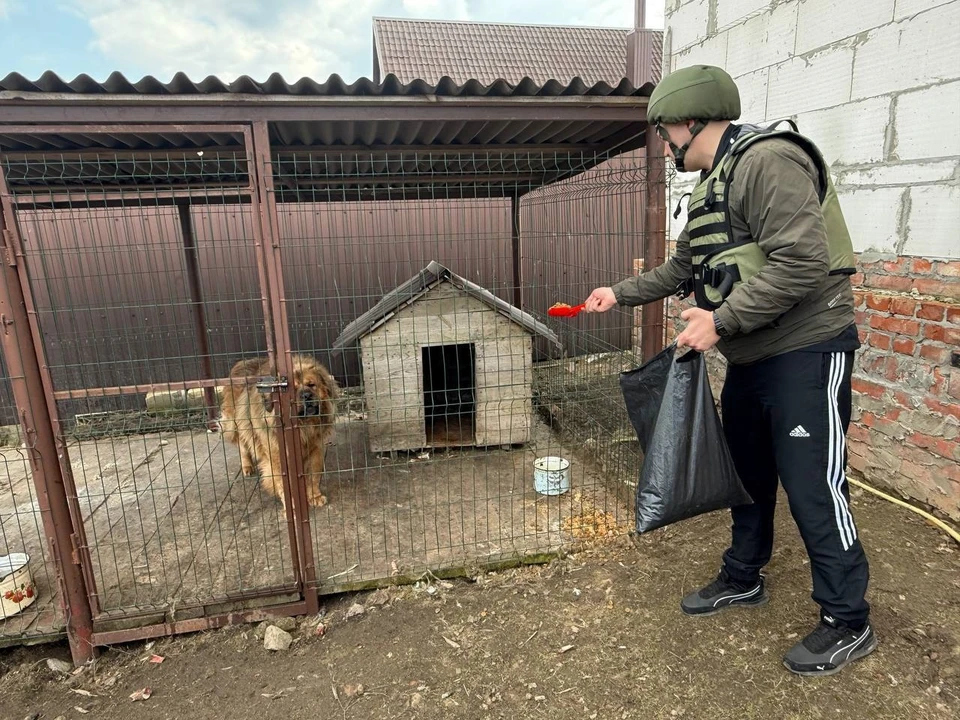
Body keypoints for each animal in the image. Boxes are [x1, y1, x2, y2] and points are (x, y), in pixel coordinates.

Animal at [219, 354, 340, 506]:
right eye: (292, 392)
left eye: (311, 385)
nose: (306, 395)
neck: (303, 427)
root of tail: (241, 362)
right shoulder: (276, 454)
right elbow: (283, 482)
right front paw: (292, 504)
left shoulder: (315, 447)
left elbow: (313, 475)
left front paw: (315, 496)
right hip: (238, 422)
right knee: (243, 445)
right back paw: (247, 467)